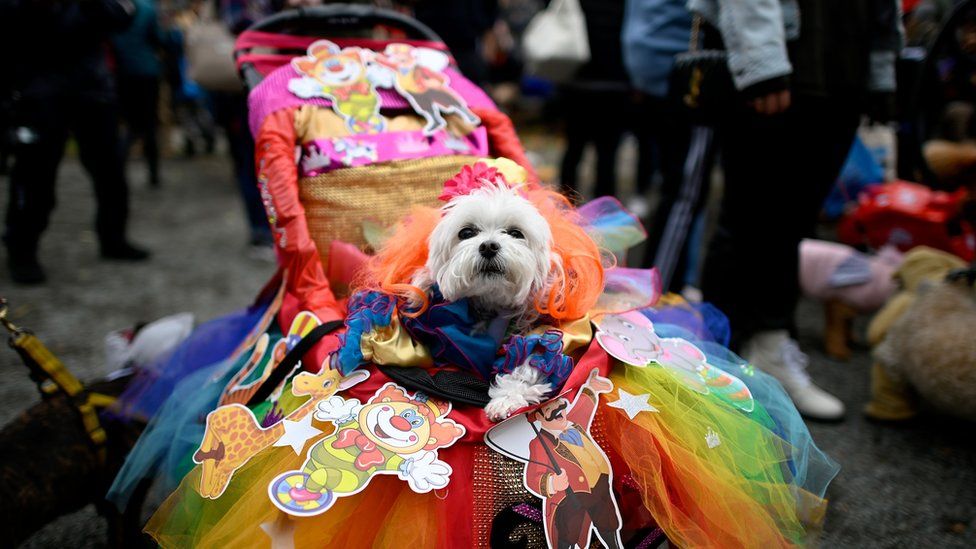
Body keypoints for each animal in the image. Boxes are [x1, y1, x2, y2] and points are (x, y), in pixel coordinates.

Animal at [410, 182, 556, 418]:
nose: (488, 246)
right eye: (466, 232)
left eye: (516, 233)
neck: (491, 300)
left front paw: (506, 399)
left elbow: (531, 359)